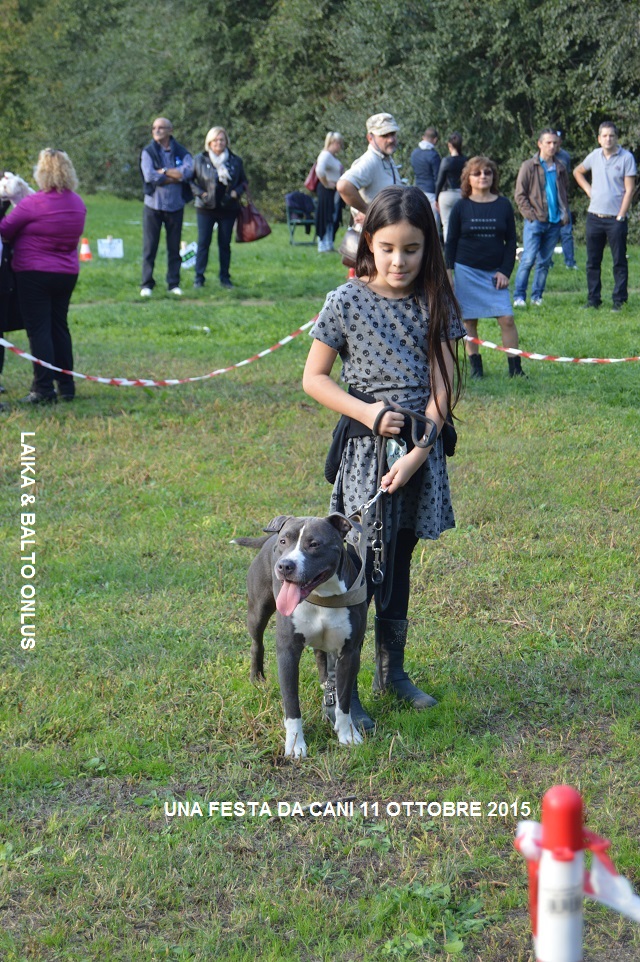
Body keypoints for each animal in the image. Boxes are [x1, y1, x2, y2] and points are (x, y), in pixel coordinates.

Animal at [234, 512, 364, 752]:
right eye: (284, 541)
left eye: (314, 544)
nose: (285, 566)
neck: (322, 595)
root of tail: (267, 539)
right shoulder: (288, 652)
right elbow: (292, 703)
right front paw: (295, 744)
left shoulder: (350, 652)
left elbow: (343, 701)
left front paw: (347, 735)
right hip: (257, 611)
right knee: (257, 643)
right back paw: (256, 677)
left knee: (320, 653)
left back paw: (324, 681)